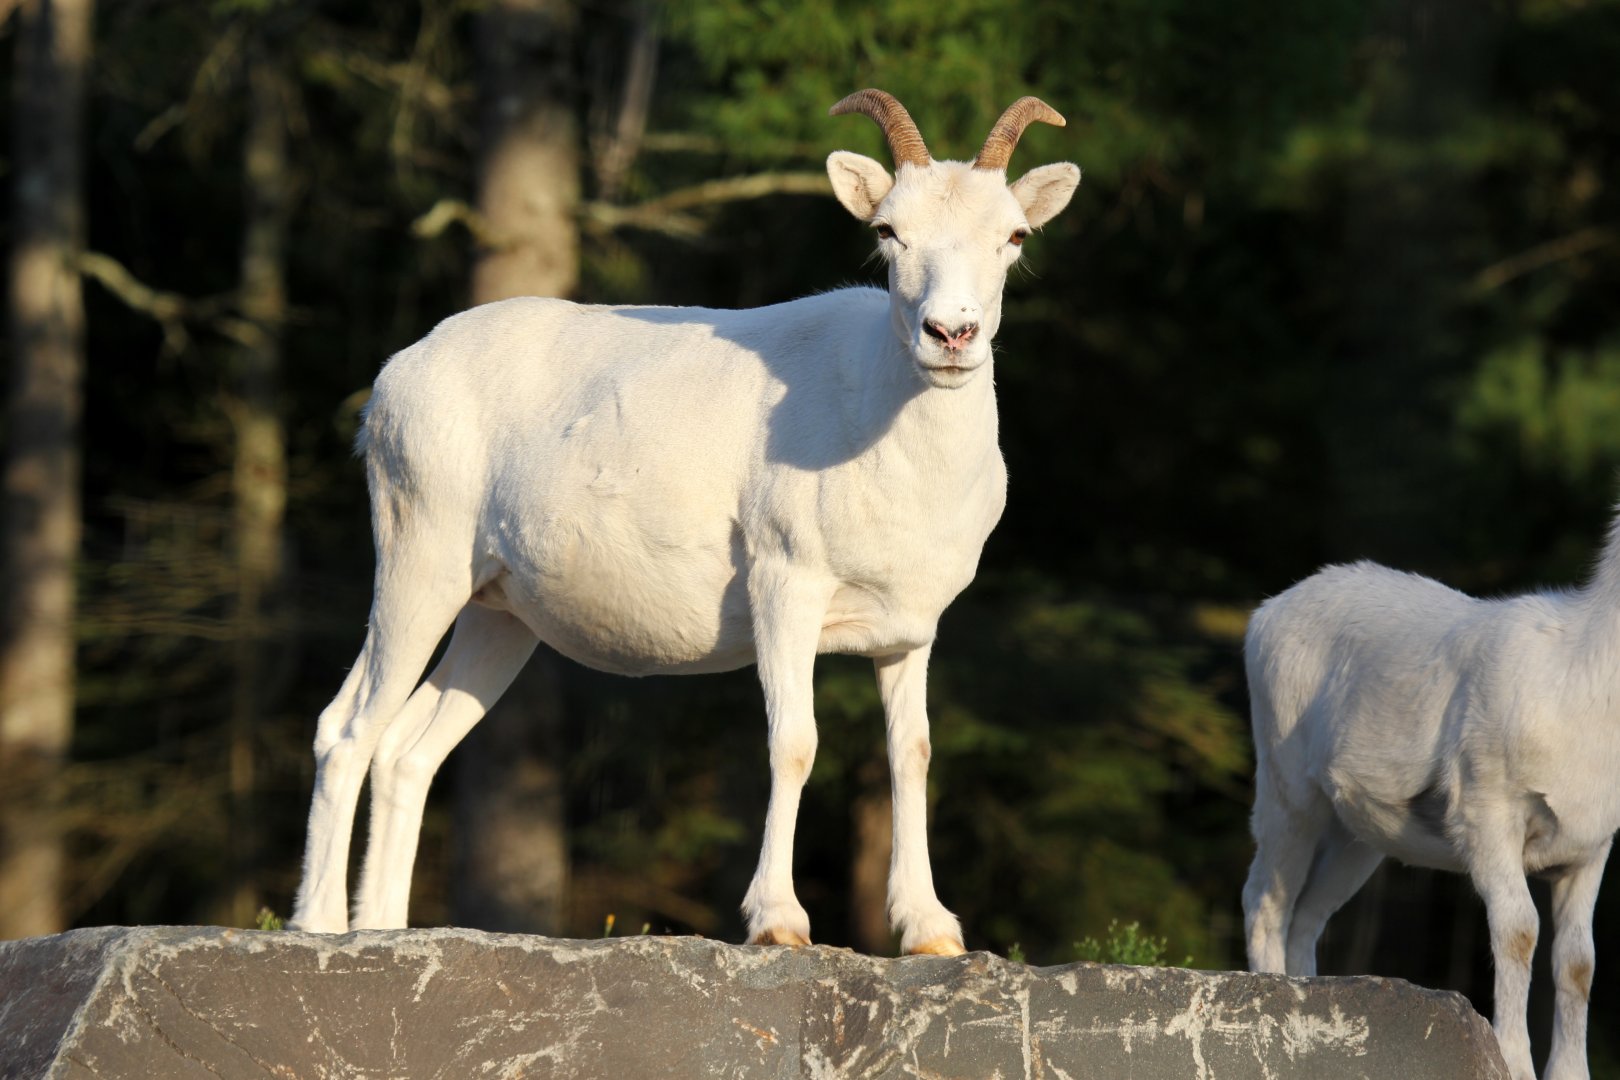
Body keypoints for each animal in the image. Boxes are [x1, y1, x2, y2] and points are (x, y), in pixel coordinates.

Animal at [288, 90, 1080, 956]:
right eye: (887, 230)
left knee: (407, 751)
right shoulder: (785, 589)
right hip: (418, 568)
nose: (951, 334)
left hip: (495, 616)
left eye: (1014, 235)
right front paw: (778, 923)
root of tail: (393, 382)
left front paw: (931, 930)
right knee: (345, 728)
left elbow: (912, 752)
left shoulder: (908, 632)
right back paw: (321, 928)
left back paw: (384, 929)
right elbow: (793, 742)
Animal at [1242, 510, 1620, 1080]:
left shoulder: (1588, 854)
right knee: (1266, 904)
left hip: (1356, 840)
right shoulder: (1489, 821)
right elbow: (1519, 932)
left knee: (1308, 918)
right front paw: (1513, 1061)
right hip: (1289, 797)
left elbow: (1578, 963)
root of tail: (1266, 614)